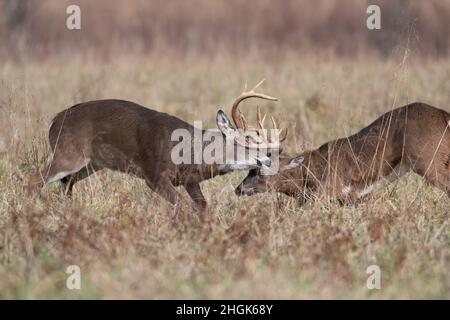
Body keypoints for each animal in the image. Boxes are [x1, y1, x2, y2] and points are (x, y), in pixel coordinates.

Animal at [27, 79, 284, 210]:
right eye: (248, 142)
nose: (269, 160)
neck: (191, 153)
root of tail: (54, 121)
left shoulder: (189, 181)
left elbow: (202, 206)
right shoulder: (154, 175)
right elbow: (182, 207)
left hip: (92, 163)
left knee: (66, 182)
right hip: (68, 153)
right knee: (34, 179)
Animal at [236, 101, 450, 204]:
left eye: (259, 169)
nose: (238, 189)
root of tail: (444, 116)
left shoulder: (325, 191)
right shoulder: (350, 199)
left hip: (428, 160)